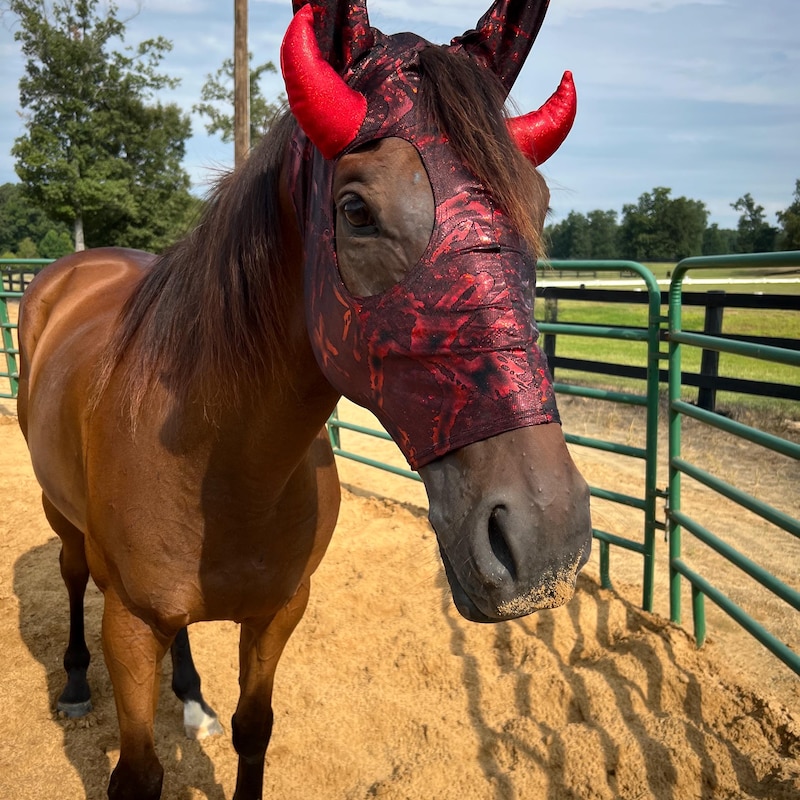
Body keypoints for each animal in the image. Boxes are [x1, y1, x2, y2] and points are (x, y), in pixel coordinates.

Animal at [16, 1, 592, 797]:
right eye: (356, 211)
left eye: (536, 205)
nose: (546, 542)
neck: (221, 466)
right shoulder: (129, 626)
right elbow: (138, 771)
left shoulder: (279, 614)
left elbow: (253, 731)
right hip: (60, 517)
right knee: (74, 579)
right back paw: (74, 684)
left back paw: (190, 695)